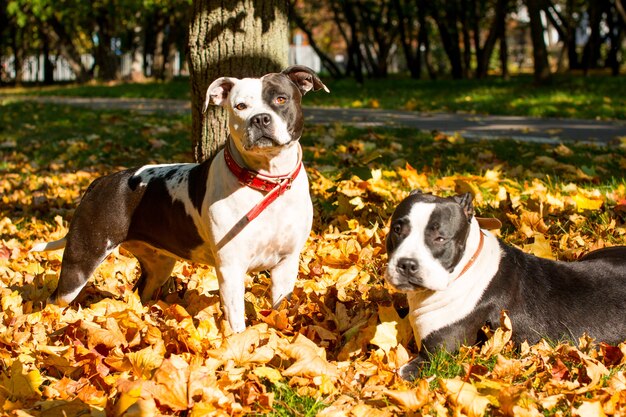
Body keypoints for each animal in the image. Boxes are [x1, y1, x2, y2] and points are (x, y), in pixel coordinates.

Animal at [31, 65, 330, 332]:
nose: (260, 119)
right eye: (240, 106)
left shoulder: (286, 264)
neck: (267, 183)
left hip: (159, 265)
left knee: (140, 292)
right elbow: (236, 322)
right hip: (80, 264)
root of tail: (99, 182)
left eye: (280, 99)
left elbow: (280, 309)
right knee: (53, 301)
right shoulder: (231, 268)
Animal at [382, 190, 624, 378]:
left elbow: (398, 372)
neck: (464, 268)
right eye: (397, 229)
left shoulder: (435, 356)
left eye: (440, 238)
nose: (406, 264)